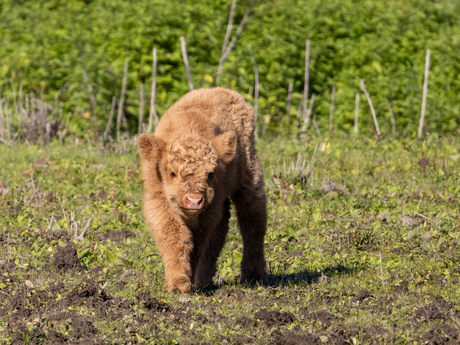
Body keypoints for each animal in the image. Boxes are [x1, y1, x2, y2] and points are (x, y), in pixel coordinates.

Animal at [138, 87, 268, 292]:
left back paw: (253, 275)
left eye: (210, 173)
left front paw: (185, 281)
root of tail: (223, 90)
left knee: (253, 218)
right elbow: (175, 236)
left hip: (250, 177)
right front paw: (178, 284)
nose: (194, 200)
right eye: (172, 173)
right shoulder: (157, 200)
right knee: (222, 228)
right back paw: (204, 279)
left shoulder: (209, 208)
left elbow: (197, 243)